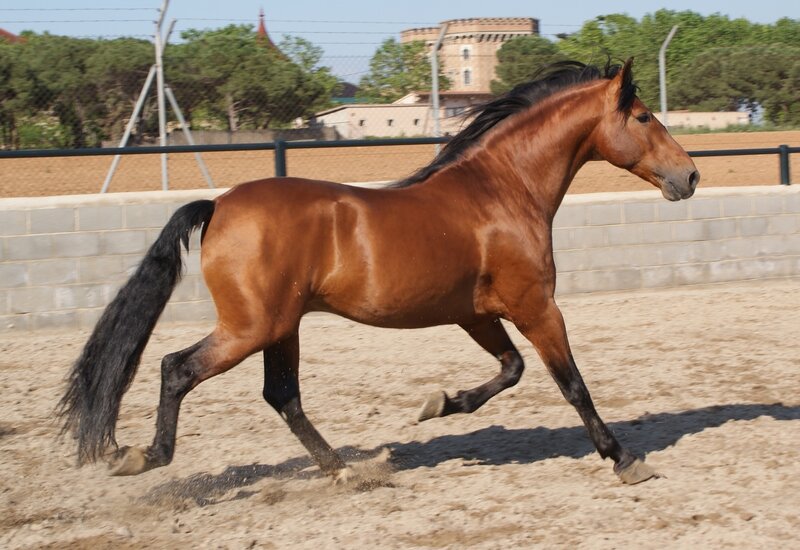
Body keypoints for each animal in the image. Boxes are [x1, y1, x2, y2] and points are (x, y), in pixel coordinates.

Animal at [59, 59, 699, 485]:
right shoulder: (536, 306)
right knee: (178, 368)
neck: (502, 190)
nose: (689, 176)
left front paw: (438, 404)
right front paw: (625, 458)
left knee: (282, 395)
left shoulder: (475, 314)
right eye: (644, 116)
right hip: (251, 328)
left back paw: (346, 469)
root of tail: (217, 206)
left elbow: (511, 370)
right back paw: (144, 456)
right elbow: (571, 384)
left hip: (281, 328)